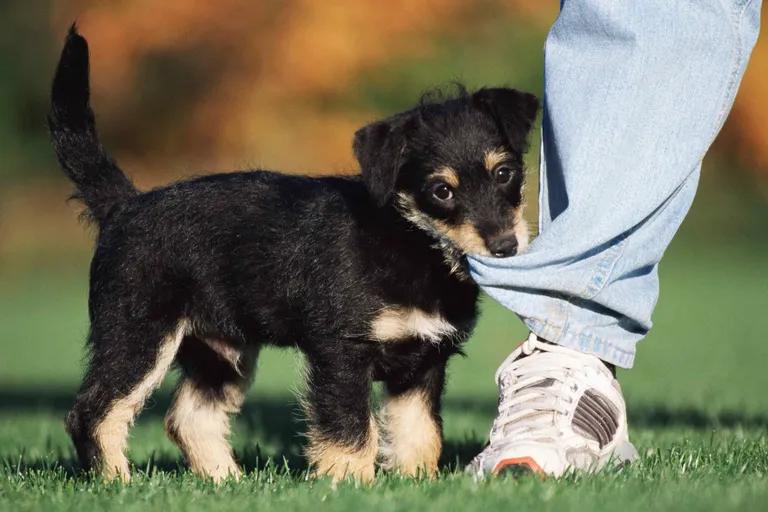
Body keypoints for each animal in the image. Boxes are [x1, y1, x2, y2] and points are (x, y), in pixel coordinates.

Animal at [51, 27, 536, 484]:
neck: (410, 241)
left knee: (190, 417)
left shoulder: (424, 360)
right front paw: (349, 483)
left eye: (504, 173)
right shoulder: (342, 353)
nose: (505, 246)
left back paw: (226, 482)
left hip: (220, 350)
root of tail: (123, 206)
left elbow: (420, 432)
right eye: (441, 191)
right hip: (137, 335)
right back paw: (118, 482)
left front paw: (417, 481)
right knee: (92, 413)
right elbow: (352, 429)